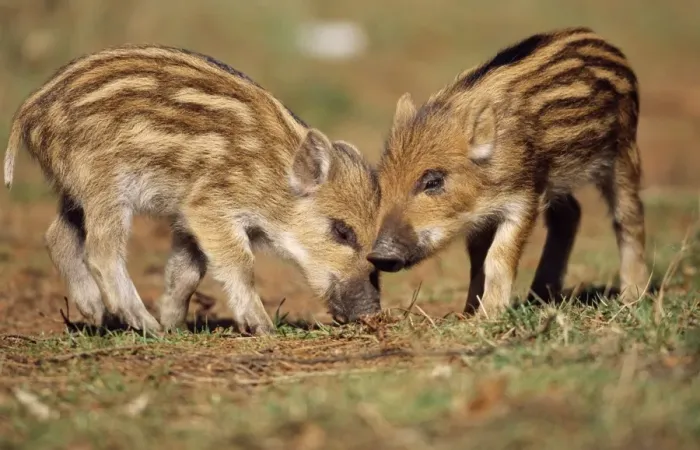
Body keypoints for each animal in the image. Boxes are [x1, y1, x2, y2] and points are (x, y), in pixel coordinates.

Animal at [4, 44, 381, 334]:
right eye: (342, 231)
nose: (372, 312)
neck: (273, 177)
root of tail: (30, 109)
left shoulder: (189, 218)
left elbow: (186, 272)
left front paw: (175, 325)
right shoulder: (209, 205)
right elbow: (240, 263)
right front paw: (263, 328)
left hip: (75, 190)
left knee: (57, 237)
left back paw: (100, 315)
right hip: (104, 185)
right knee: (101, 252)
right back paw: (145, 326)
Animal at [368, 27, 649, 316]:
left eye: (433, 181)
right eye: (382, 184)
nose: (379, 256)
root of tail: (603, 43)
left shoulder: (522, 198)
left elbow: (498, 256)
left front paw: (488, 315)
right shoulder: (483, 213)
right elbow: (477, 259)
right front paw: (467, 313)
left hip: (623, 151)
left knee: (629, 216)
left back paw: (632, 298)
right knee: (570, 214)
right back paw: (539, 297)